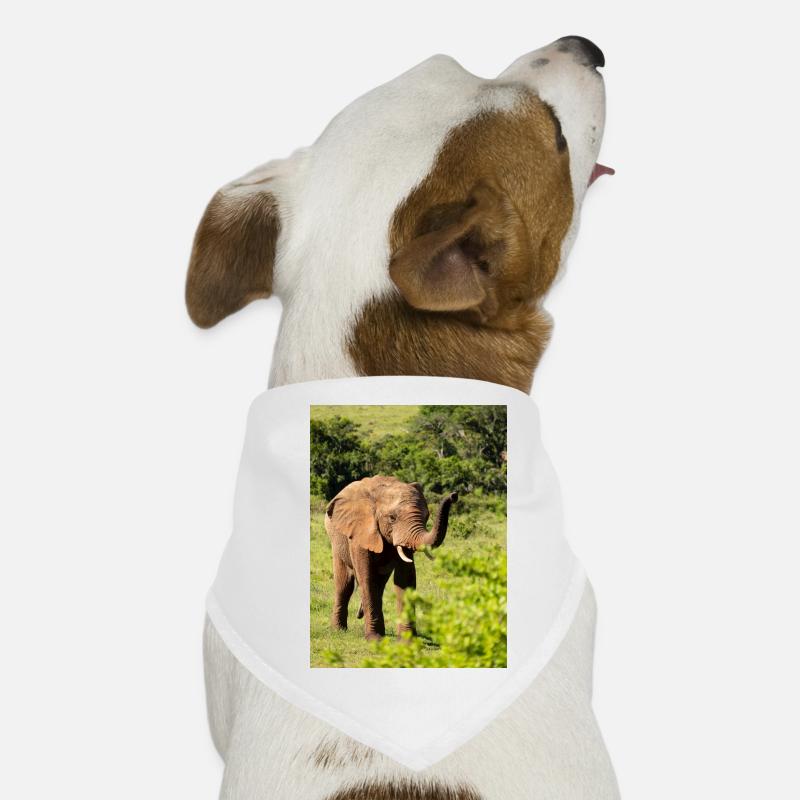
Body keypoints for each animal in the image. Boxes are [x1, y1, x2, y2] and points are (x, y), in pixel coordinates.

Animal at [323, 475, 458, 640]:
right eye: (392, 518)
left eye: (426, 516)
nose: (454, 495)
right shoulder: (360, 532)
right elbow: (366, 577)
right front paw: (374, 639)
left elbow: (405, 578)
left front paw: (407, 640)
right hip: (336, 538)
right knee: (344, 584)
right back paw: (339, 630)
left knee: (379, 584)